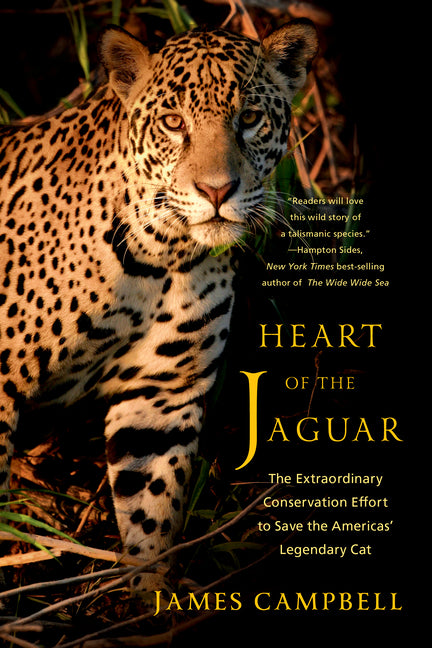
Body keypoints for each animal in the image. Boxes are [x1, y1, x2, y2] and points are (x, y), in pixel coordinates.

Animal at [0, 20, 318, 591]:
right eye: (173, 123)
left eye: (250, 119)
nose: (217, 191)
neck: (161, 256)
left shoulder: (160, 396)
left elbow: (153, 511)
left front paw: (151, 597)